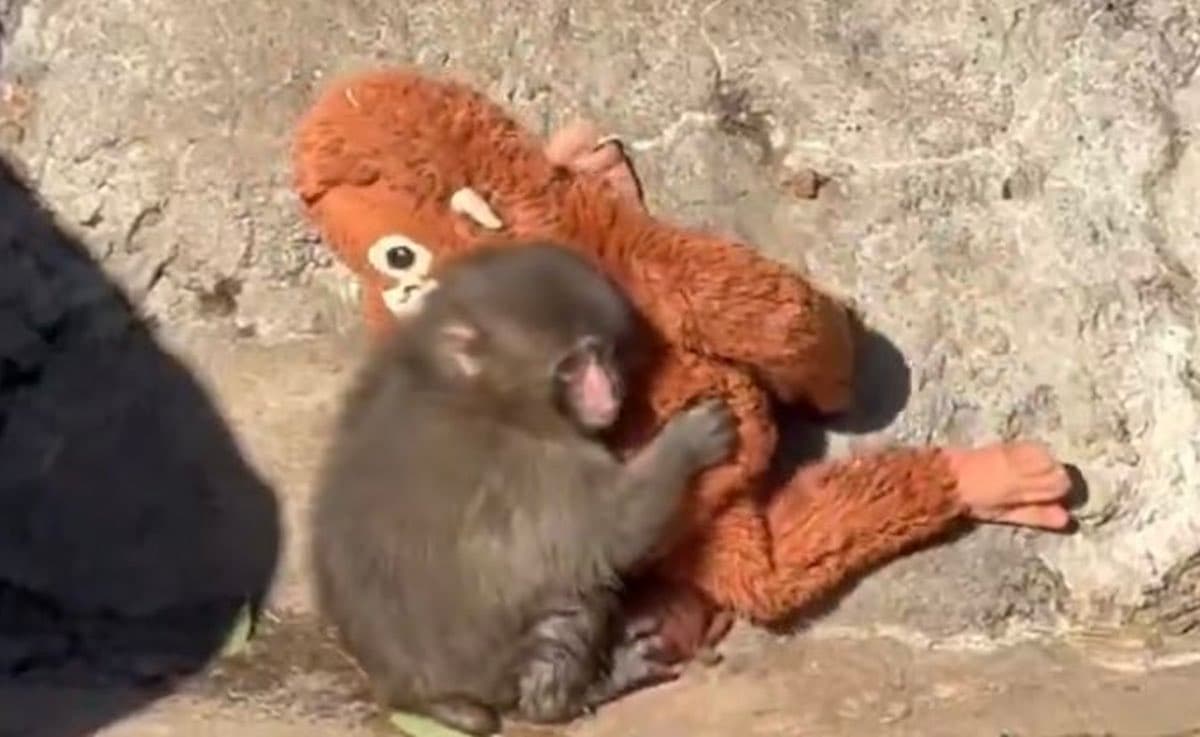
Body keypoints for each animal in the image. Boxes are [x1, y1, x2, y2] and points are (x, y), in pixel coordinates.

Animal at [310, 242, 736, 736]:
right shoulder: (532, 463)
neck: (476, 391)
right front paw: (688, 441)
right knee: (569, 598)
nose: (609, 392)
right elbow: (612, 530)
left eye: (601, 353)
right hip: (494, 669)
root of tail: (409, 693)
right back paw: (571, 697)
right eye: (571, 366)